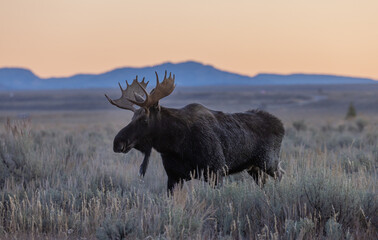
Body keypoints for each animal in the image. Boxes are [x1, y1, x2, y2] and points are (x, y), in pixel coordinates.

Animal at [105, 71, 284, 193]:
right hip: (254, 167)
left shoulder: (216, 171)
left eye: (144, 120)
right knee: (263, 182)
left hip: (269, 161)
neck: (174, 145)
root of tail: (280, 125)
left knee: (281, 174)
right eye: (132, 117)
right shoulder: (174, 177)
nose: (117, 142)